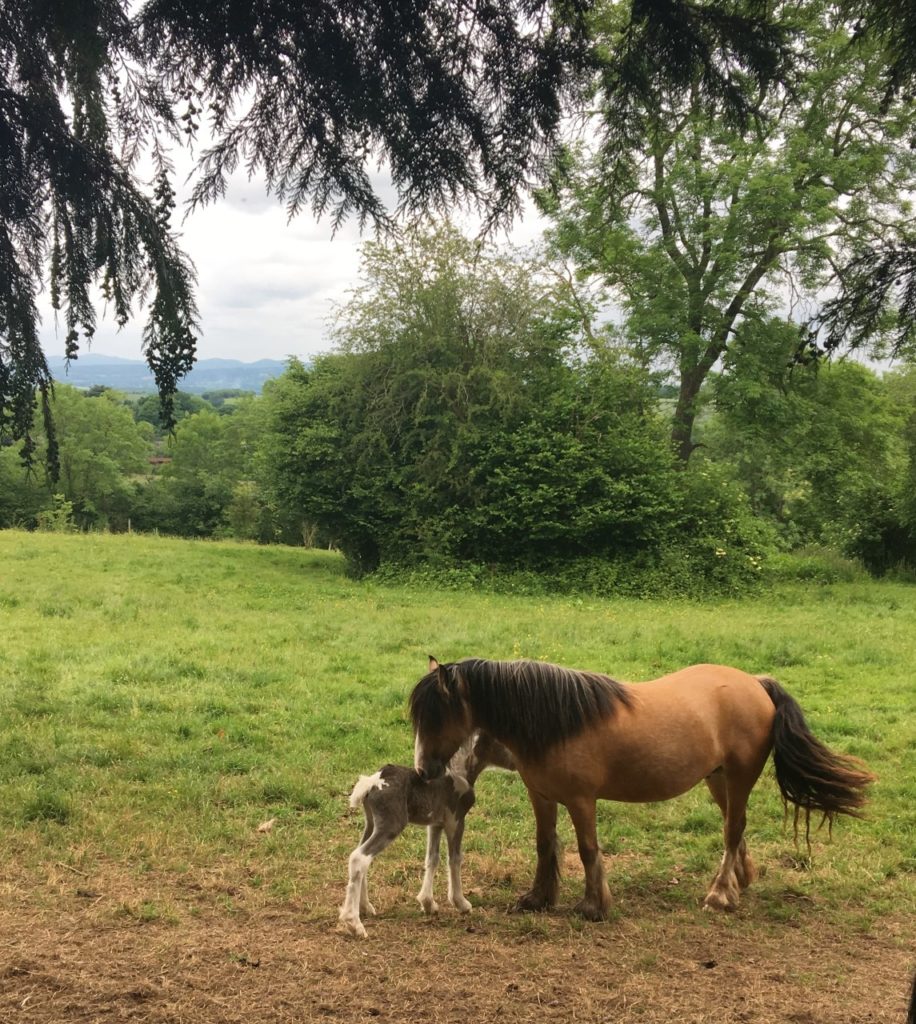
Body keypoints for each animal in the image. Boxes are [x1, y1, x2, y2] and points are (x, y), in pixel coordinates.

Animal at [339, 733, 519, 937]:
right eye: (500, 741)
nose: (516, 762)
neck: (460, 772)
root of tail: (372, 782)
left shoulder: (435, 824)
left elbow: (432, 858)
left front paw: (428, 904)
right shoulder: (455, 821)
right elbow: (455, 859)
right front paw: (461, 903)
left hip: (371, 824)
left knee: (360, 858)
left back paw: (366, 907)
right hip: (391, 825)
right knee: (359, 858)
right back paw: (354, 924)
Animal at [409, 659, 876, 925]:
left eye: (437, 715)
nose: (423, 771)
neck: (557, 721)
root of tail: (757, 683)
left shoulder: (581, 800)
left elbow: (587, 850)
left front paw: (594, 907)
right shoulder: (541, 796)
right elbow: (545, 845)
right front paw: (538, 899)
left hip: (740, 776)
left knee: (732, 830)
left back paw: (719, 895)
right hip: (718, 778)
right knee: (736, 826)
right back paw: (740, 881)